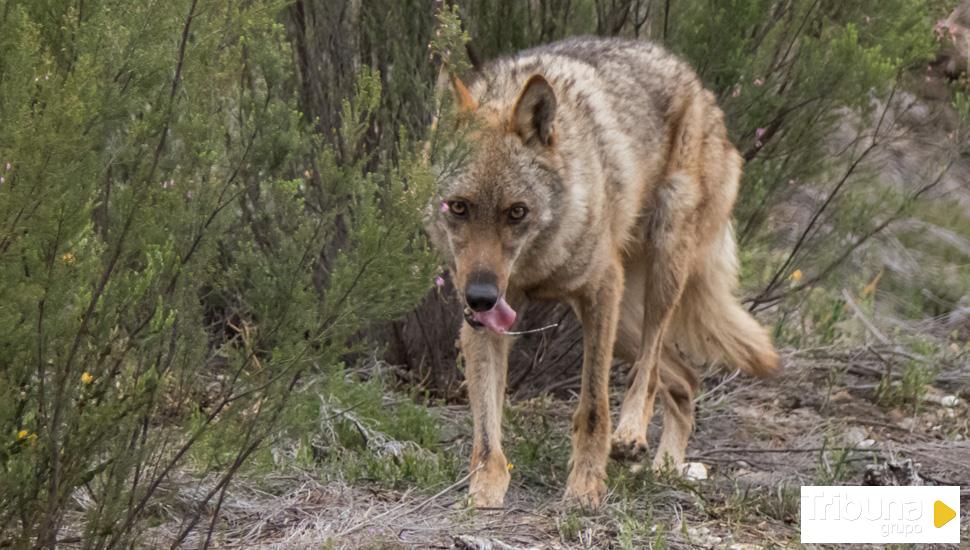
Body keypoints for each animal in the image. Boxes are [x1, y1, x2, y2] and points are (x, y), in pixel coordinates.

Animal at [428, 37, 776, 508]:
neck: (537, 263)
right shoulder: (483, 322)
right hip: (625, 323)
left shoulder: (599, 291)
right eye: (458, 207)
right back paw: (667, 468)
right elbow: (485, 425)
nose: (481, 297)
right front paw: (485, 488)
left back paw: (631, 435)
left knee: (650, 370)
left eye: (516, 212)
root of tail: (699, 86)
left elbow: (593, 406)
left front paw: (586, 486)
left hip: (658, 274)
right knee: (686, 379)